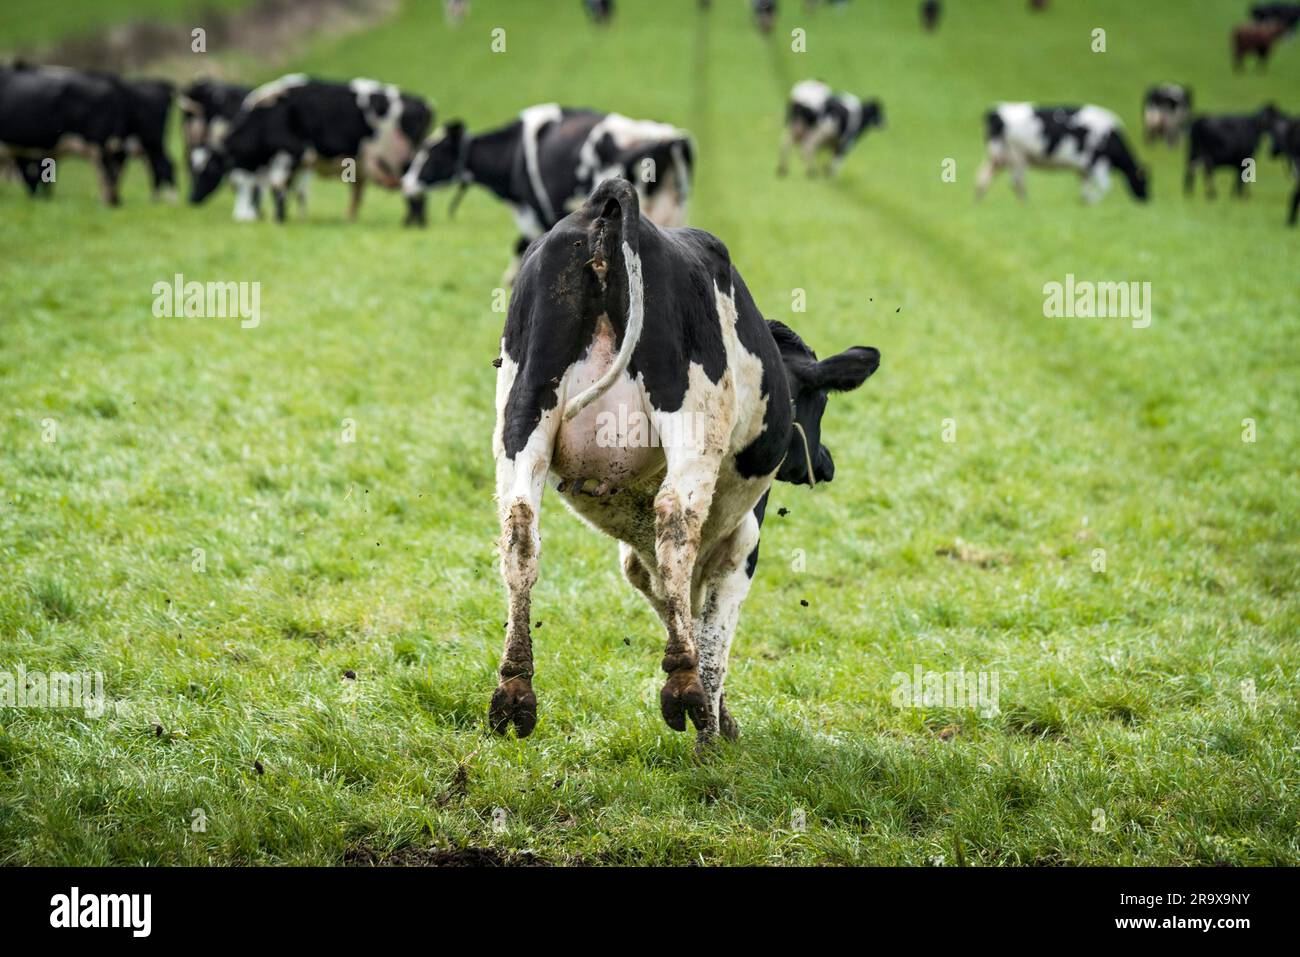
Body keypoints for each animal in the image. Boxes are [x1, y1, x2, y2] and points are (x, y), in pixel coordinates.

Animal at [189, 73, 431, 223]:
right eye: (192, 168)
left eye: (209, 170)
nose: (192, 199)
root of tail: (422, 103)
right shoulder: (298, 162)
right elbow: (292, 190)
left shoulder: (289, 153)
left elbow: (278, 186)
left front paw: (278, 219)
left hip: (403, 158)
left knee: (415, 190)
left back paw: (412, 224)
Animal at [488, 178, 883, 748]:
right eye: (821, 401)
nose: (824, 464)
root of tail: (608, 206)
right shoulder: (741, 542)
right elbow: (714, 637)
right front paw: (713, 729)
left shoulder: (639, 561)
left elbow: (682, 610)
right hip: (691, 423)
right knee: (675, 520)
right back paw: (684, 693)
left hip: (521, 411)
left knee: (520, 528)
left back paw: (514, 693)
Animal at [977, 102, 1149, 202]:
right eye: (1145, 181)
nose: (1146, 199)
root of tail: (995, 113)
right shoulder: (1097, 161)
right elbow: (1106, 186)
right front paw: (1093, 202)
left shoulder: (1084, 168)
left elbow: (1086, 186)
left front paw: (1084, 202)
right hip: (1016, 155)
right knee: (1017, 182)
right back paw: (1026, 204)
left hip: (1000, 157)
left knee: (982, 177)